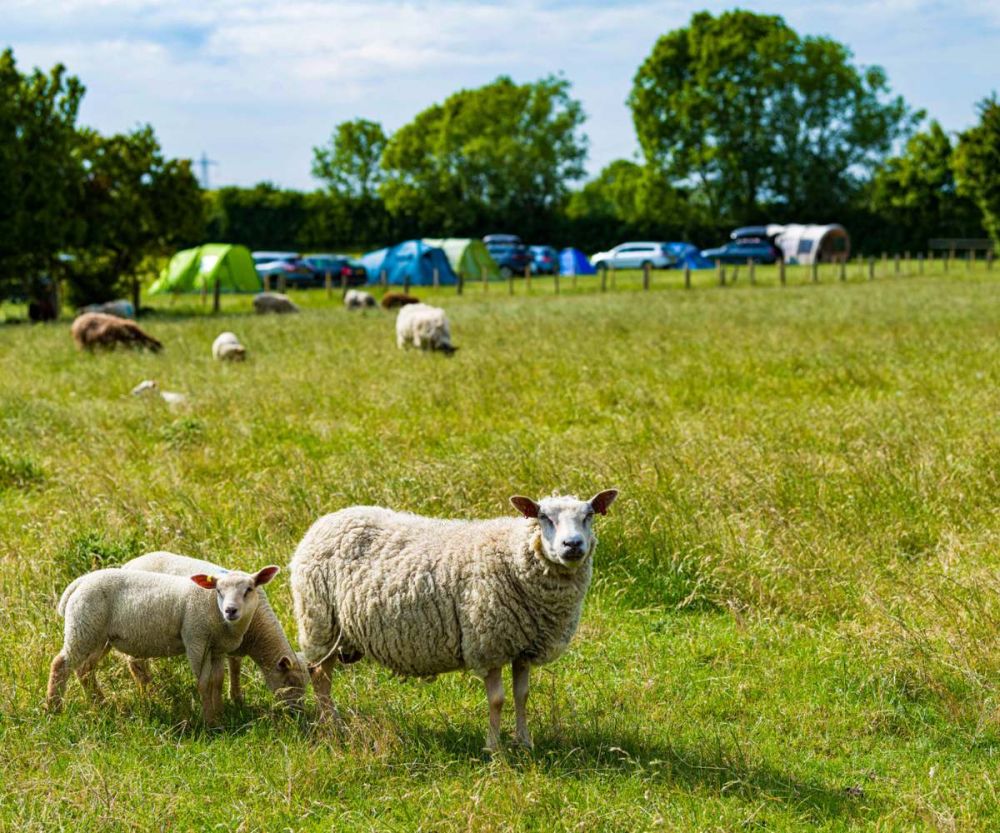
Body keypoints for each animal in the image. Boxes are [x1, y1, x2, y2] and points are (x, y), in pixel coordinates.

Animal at [47, 564, 279, 726]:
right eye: (219, 591)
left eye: (249, 589)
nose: (231, 610)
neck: (214, 610)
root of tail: (80, 582)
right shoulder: (195, 639)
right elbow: (204, 683)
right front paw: (210, 722)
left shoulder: (217, 649)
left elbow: (218, 681)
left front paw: (221, 714)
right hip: (83, 626)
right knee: (61, 664)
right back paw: (54, 709)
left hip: (99, 636)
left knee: (85, 669)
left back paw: (101, 705)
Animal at [121, 552, 307, 708]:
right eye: (289, 682)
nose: (298, 713)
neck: (258, 628)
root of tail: (128, 564)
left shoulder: (236, 645)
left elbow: (235, 668)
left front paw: (237, 698)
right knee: (135, 663)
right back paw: (148, 696)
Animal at [289, 489, 619, 750]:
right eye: (543, 516)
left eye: (589, 515)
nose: (572, 545)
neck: (513, 554)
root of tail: (325, 521)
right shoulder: (488, 643)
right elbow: (497, 700)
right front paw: (494, 748)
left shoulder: (524, 646)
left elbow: (522, 695)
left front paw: (524, 743)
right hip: (320, 622)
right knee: (320, 677)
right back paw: (332, 727)